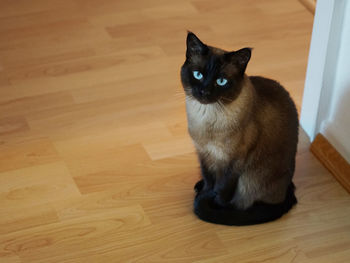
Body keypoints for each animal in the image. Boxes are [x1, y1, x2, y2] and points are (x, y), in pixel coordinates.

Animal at [180, 32, 298, 227]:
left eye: (221, 81)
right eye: (198, 75)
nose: (204, 92)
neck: (207, 118)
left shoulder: (234, 161)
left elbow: (221, 190)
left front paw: (212, 204)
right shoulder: (204, 153)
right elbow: (209, 180)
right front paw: (204, 192)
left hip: (250, 180)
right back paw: (199, 187)